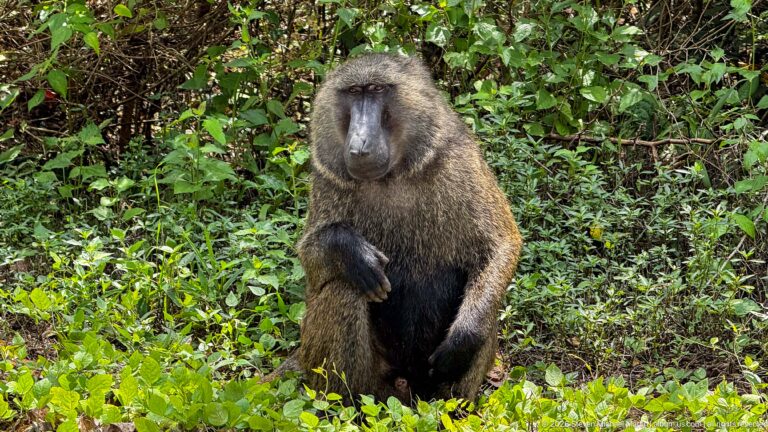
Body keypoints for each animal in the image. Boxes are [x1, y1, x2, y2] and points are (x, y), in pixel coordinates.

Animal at [296, 53, 522, 403]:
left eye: (377, 89)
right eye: (354, 92)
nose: (360, 145)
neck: (393, 175)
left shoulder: (461, 159)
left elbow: (500, 245)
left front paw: (463, 341)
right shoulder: (326, 178)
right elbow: (311, 261)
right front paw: (352, 252)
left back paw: (452, 407)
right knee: (345, 287)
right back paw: (348, 404)